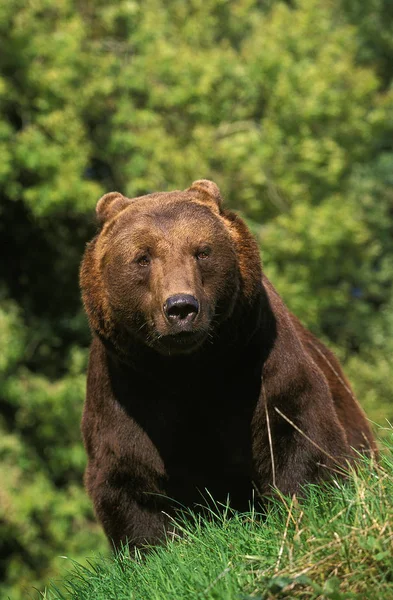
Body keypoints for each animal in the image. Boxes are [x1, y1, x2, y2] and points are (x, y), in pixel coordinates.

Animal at [79, 178, 374, 548]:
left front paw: (301, 507)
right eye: (143, 257)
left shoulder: (256, 362)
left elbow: (297, 431)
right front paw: (157, 544)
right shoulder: (128, 389)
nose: (181, 307)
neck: (187, 369)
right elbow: (128, 475)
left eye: (202, 250)